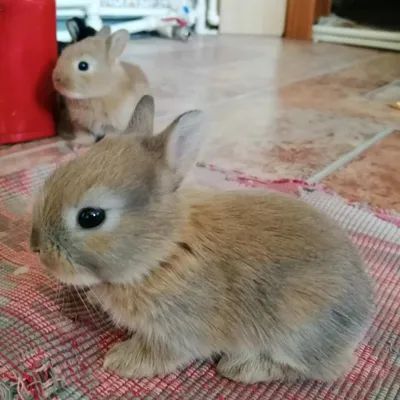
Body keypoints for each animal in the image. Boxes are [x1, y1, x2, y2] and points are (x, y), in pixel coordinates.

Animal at [31, 94, 376, 384]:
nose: (36, 248)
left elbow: (161, 353)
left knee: (320, 369)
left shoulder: (177, 332)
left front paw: (120, 360)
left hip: (296, 328)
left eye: (91, 217)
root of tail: (363, 315)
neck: (162, 253)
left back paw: (240, 368)